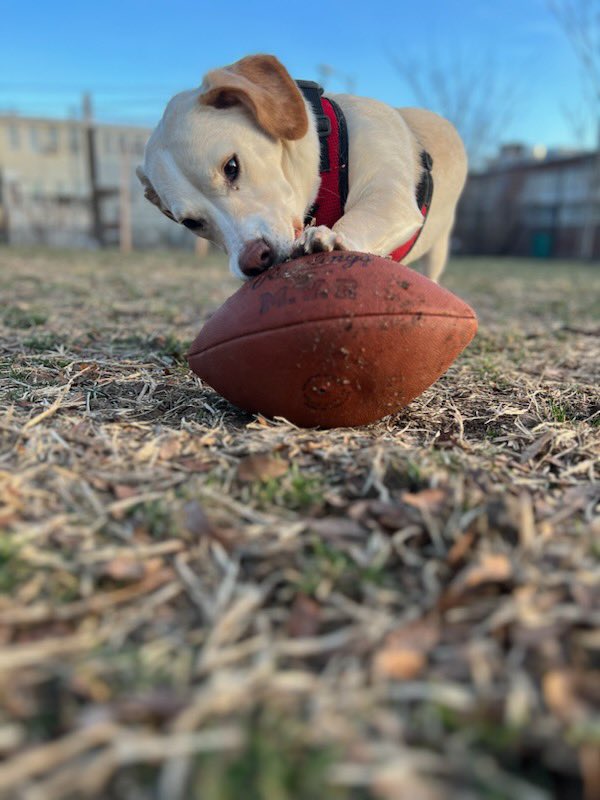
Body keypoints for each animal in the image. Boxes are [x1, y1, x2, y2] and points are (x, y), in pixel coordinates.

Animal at [137, 54, 468, 284]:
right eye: (191, 223)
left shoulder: (391, 197)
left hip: (438, 248)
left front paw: (330, 239)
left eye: (231, 166)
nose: (254, 260)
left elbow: (362, 218)